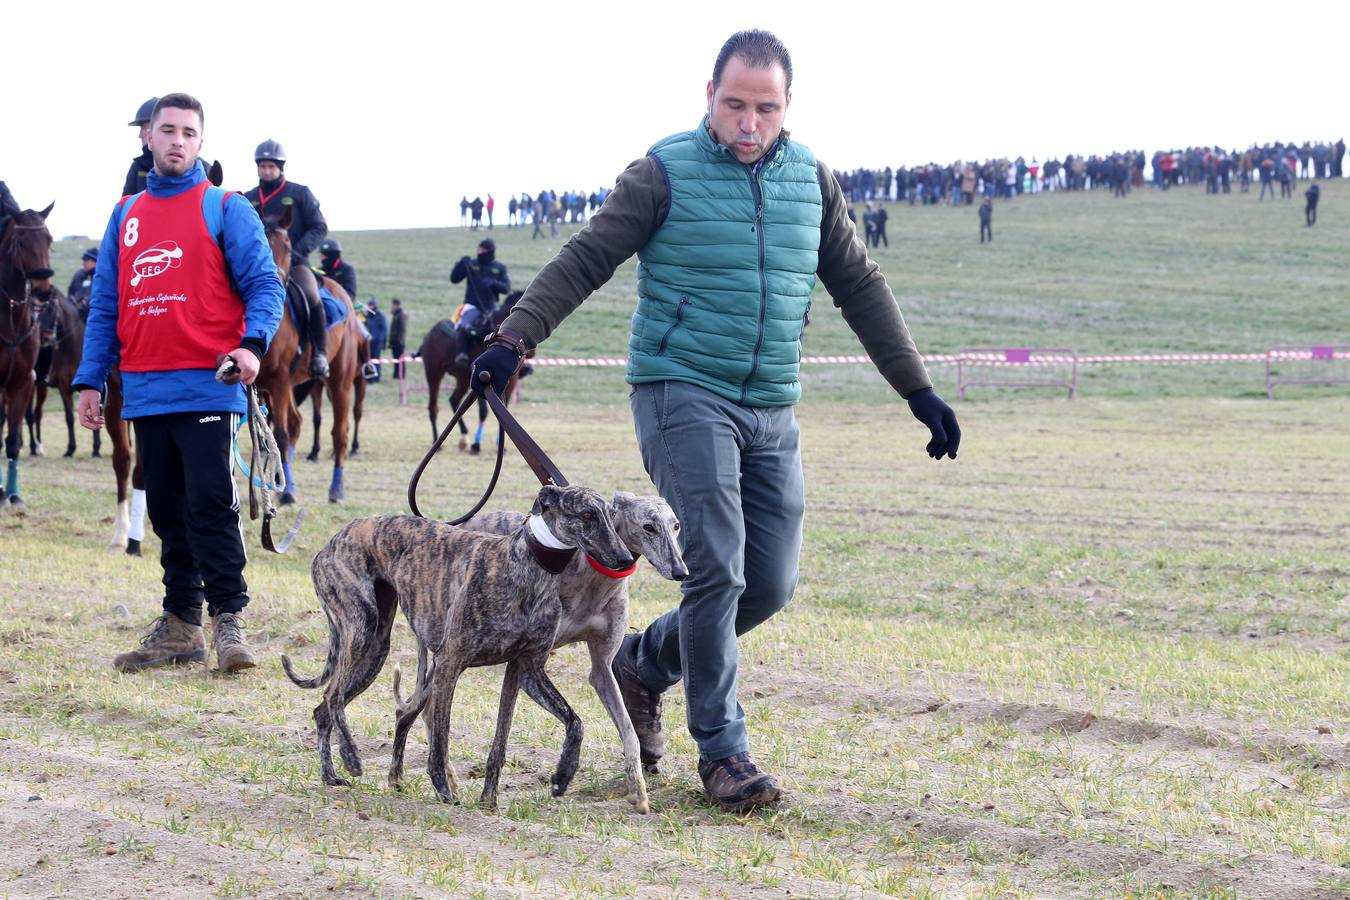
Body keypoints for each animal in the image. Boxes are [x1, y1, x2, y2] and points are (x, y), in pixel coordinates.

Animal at [27, 287, 97, 458]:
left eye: (51, 309)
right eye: (37, 313)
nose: (43, 338)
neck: (73, 349)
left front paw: (96, 448)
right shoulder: (64, 388)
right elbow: (69, 418)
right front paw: (70, 449)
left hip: (40, 387)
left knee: (37, 413)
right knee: (30, 416)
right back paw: (33, 447)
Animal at [256, 211, 364, 507]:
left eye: (288, 247)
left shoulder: (279, 381)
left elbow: (279, 437)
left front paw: (287, 493)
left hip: (339, 382)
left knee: (339, 433)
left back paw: (335, 490)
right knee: (296, 423)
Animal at [421, 292, 526, 453]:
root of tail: (430, 335)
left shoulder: (508, 383)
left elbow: (504, 411)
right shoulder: (483, 379)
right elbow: (483, 411)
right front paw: (477, 445)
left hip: (463, 380)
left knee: (454, 401)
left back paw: (464, 438)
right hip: (434, 374)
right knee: (433, 407)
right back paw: (436, 442)